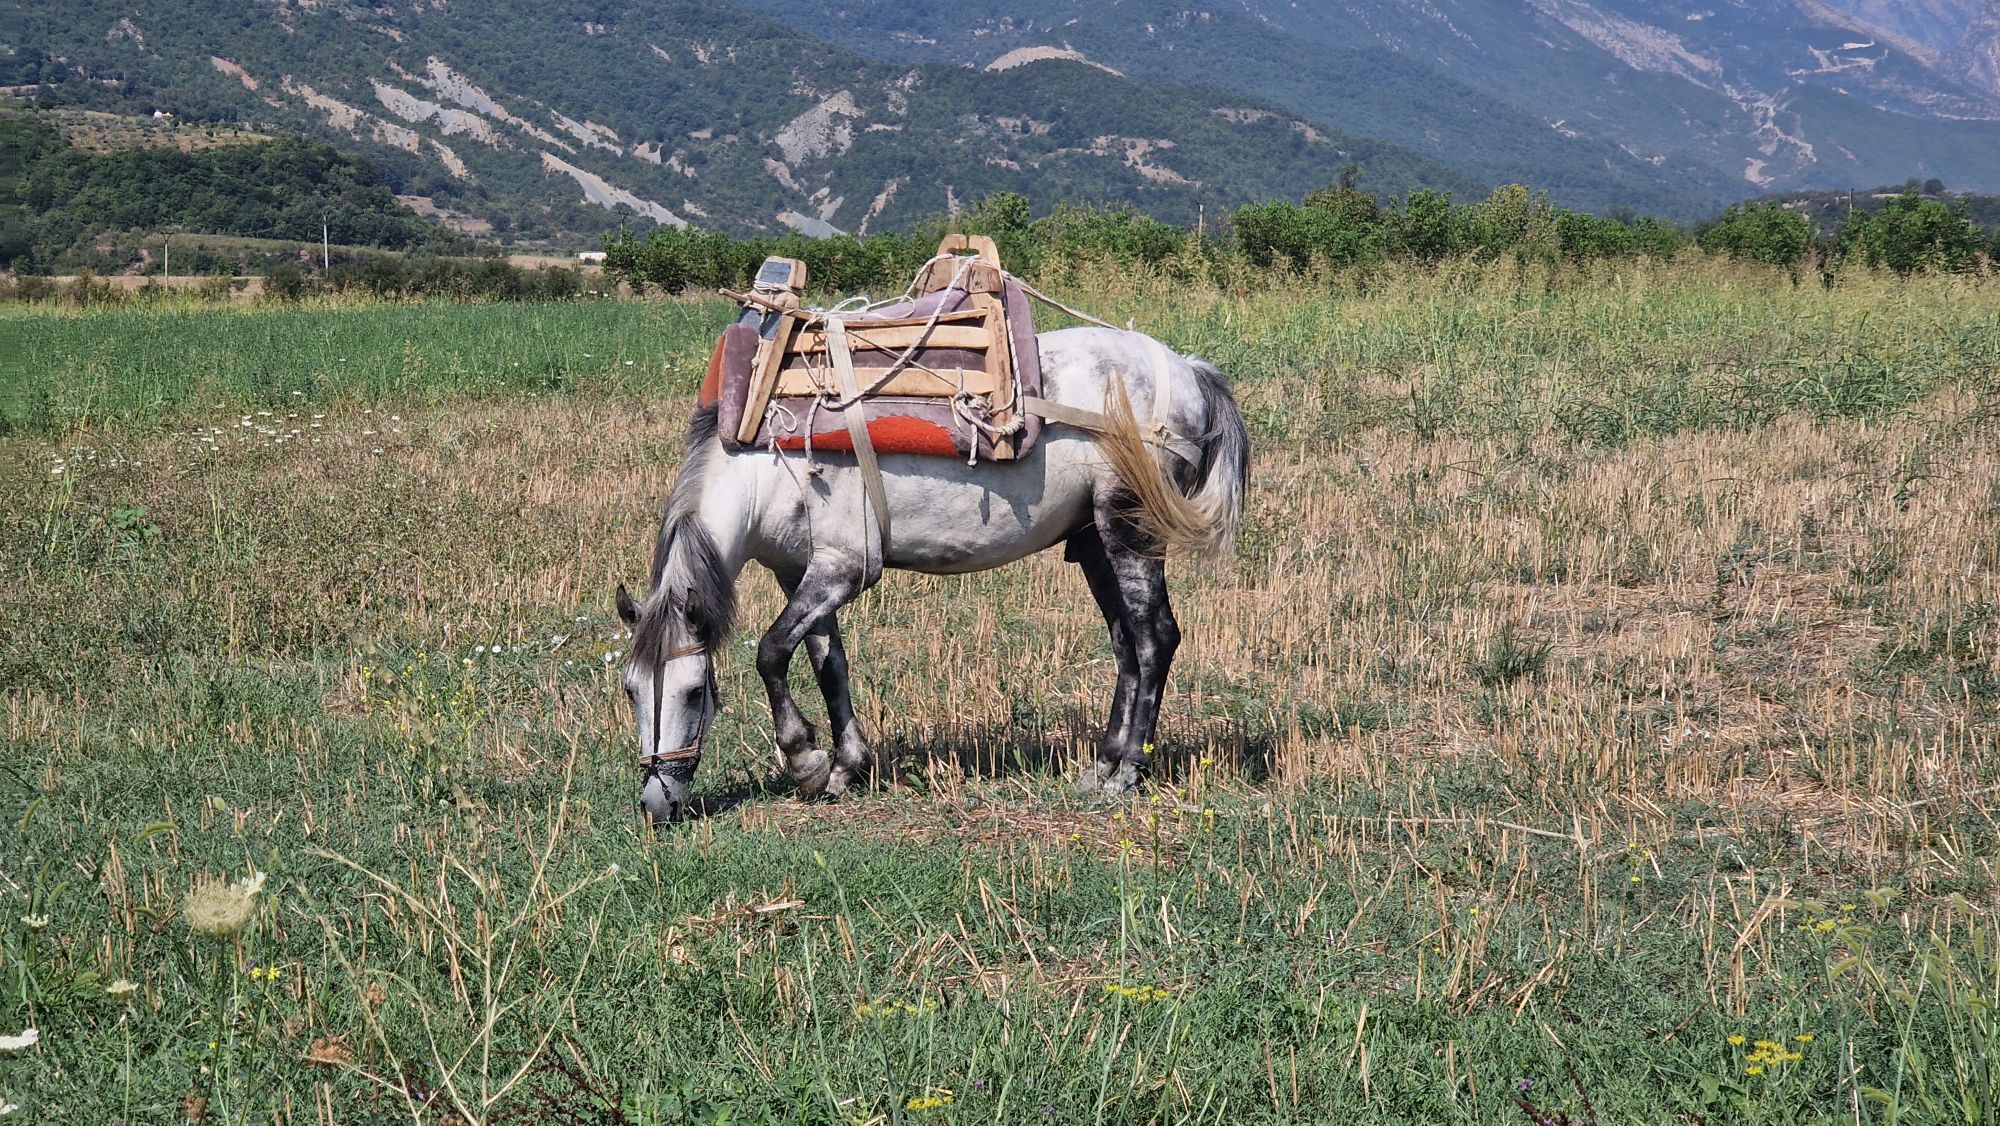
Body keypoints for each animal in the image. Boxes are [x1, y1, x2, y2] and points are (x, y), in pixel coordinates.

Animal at [615, 325, 1250, 823]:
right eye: (630, 691)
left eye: (695, 692)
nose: (655, 804)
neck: (769, 461)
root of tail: (1188, 370)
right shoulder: (799, 574)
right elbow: (829, 665)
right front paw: (846, 767)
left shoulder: (842, 571)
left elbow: (771, 652)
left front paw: (806, 761)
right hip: (1095, 542)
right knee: (1125, 642)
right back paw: (1104, 762)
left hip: (1130, 532)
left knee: (1155, 638)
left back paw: (1129, 773)